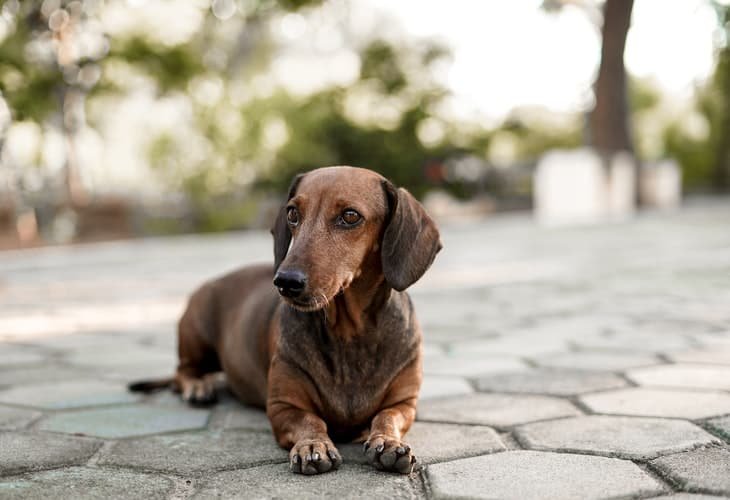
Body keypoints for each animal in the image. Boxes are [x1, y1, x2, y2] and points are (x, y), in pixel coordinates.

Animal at [130, 166, 438, 474]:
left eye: (350, 216)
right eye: (293, 213)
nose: (286, 281)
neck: (349, 334)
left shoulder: (405, 404)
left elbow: (386, 417)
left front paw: (387, 442)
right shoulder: (282, 406)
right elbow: (310, 420)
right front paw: (313, 445)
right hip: (196, 335)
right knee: (182, 372)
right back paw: (198, 386)